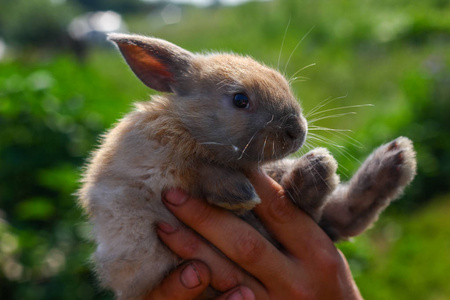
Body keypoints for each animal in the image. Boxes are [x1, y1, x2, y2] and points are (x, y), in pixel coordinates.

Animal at [78, 33, 418, 300]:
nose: (297, 130)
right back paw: (328, 169)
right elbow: (197, 168)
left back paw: (387, 161)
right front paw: (238, 193)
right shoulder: (153, 170)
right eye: (240, 100)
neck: (190, 128)